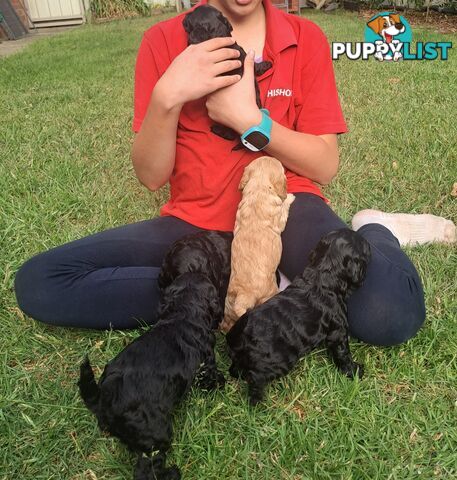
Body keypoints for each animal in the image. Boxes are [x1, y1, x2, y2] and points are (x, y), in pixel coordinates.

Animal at [80, 272, 226, 478]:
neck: (182, 313)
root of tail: (103, 400)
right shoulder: (207, 361)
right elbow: (210, 376)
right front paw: (221, 383)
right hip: (154, 434)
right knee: (147, 468)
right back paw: (172, 473)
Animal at [183, 4, 270, 144]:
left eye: (189, 20)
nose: (184, 18)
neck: (220, 35)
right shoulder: (245, 55)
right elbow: (255, 65)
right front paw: (266, 64)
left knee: (229, 135)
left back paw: (217, 129)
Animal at [225, 229, 370, 404]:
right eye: (365, 247)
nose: (370, 244)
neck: (323, 274)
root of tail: (237, 338)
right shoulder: (338, 330)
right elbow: (343, 353)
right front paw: (354, 371)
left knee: (235, 369)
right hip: (277, 362)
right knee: (255, 379)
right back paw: (258, 402)